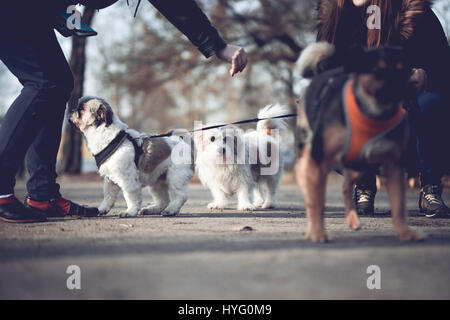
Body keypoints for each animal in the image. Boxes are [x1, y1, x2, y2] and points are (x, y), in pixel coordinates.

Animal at [296, 42, 422, 242]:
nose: (402, 90)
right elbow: (317, 202)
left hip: (359, 165)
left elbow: (398, 205)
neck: (372, 113)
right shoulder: (319, 160)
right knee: (314, 193)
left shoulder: (394, 165)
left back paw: (353, 219)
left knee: (346, 187)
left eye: (404, 70)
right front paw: (317, 233)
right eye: (378, 71)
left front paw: (405, 232)